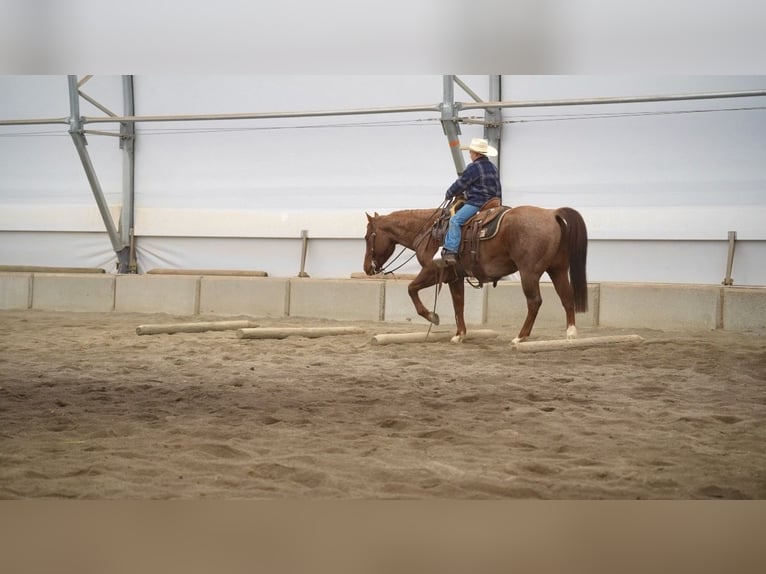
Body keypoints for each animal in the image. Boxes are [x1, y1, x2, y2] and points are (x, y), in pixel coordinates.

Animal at [363, 204, 588, 344]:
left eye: (367, 237)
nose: (367, 268)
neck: (428, 231)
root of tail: (552, 214)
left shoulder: (432, 271)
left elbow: (411, 289)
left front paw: (432, 316)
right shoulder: (454, 278)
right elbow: (458, 305)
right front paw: (460, 335)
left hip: (529, 273)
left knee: (534, 302)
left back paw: (521, 337)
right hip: (558, 270)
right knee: (567, 298)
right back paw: (571, 333)